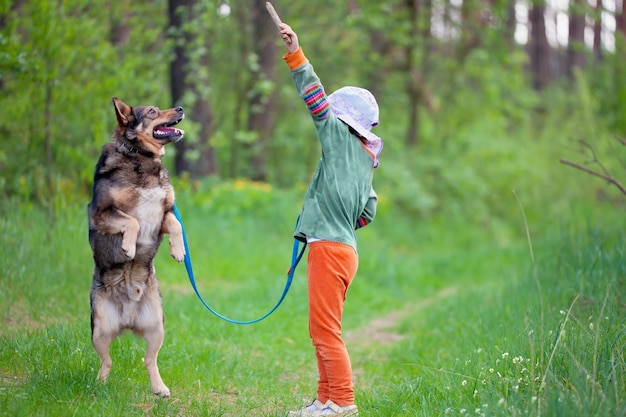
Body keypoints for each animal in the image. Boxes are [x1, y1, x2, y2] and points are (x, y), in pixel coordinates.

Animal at [88, 97, 185, 396]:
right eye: (153, 111)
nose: (180, 108)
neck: (141, 157)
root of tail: (128, 319)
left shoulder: (165, 214)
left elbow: (176, 225)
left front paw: (178, 250)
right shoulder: (99, 213)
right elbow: (131, 221)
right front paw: (128, 248)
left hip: (156, 327)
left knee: (149, 360)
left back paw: (159, 388)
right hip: (99, 329)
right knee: (106, 362)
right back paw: (99, 385)